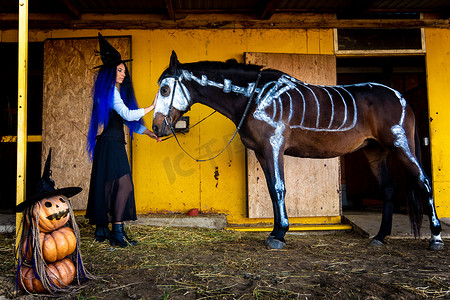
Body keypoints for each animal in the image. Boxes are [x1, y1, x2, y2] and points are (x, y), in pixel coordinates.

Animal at [151, 51, 442, 251]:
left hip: (400, 146)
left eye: (165, 89)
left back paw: (436, 237)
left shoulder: (273, 147)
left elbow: (280, 189)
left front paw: (279, 235)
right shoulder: (262, 153)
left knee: (424, 182)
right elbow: (272, 190)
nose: (155, 127)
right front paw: (275, 232)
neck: (255, 96)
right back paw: (380, 237)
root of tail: (401, 97)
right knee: (389, 189)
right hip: (375, 152)